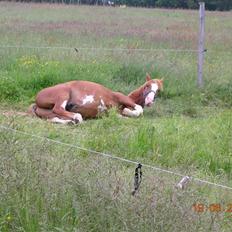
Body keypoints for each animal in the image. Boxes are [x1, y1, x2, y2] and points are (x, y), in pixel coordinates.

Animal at [29, 74, 163, 125]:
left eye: (159, 90)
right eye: (147, 86)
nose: (149, 101)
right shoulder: (121, 97)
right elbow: (139, 110)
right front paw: (129, 111)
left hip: (49, 114)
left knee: (54, 118)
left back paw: (71, 121)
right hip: (63, 93)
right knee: (59, 109)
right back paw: (76, 117)